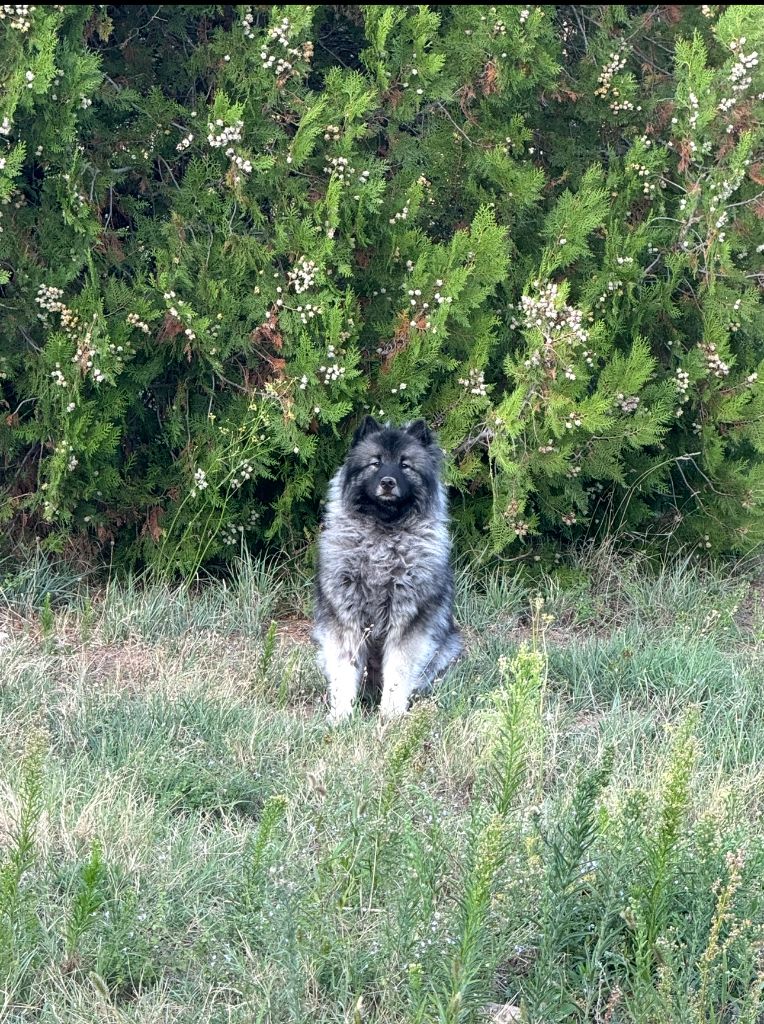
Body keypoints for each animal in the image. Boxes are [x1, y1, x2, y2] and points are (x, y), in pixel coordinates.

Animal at [313, 415, 460, 720]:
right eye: (376, 463)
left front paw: (390, 715)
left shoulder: (407, 622)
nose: (388, 482)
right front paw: (341, 715)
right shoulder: (346, 622)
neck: (382, 536)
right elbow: (345, 673)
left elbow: (398, 673)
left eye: (405, 465)